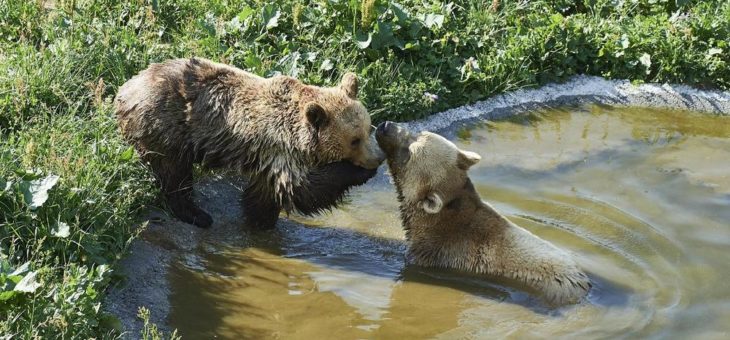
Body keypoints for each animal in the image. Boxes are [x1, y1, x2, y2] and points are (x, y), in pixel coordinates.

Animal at [114, 57, 384, 228]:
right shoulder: (280, 148)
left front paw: (261, 221)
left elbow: (265, 195)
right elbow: (303, 190)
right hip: (164, 125)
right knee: (173, 173)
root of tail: (125, 88)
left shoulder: (269, 157)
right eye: (354, 140)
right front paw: (358, 172)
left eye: (367, 128)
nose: (377, 157)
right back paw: (197, 214)